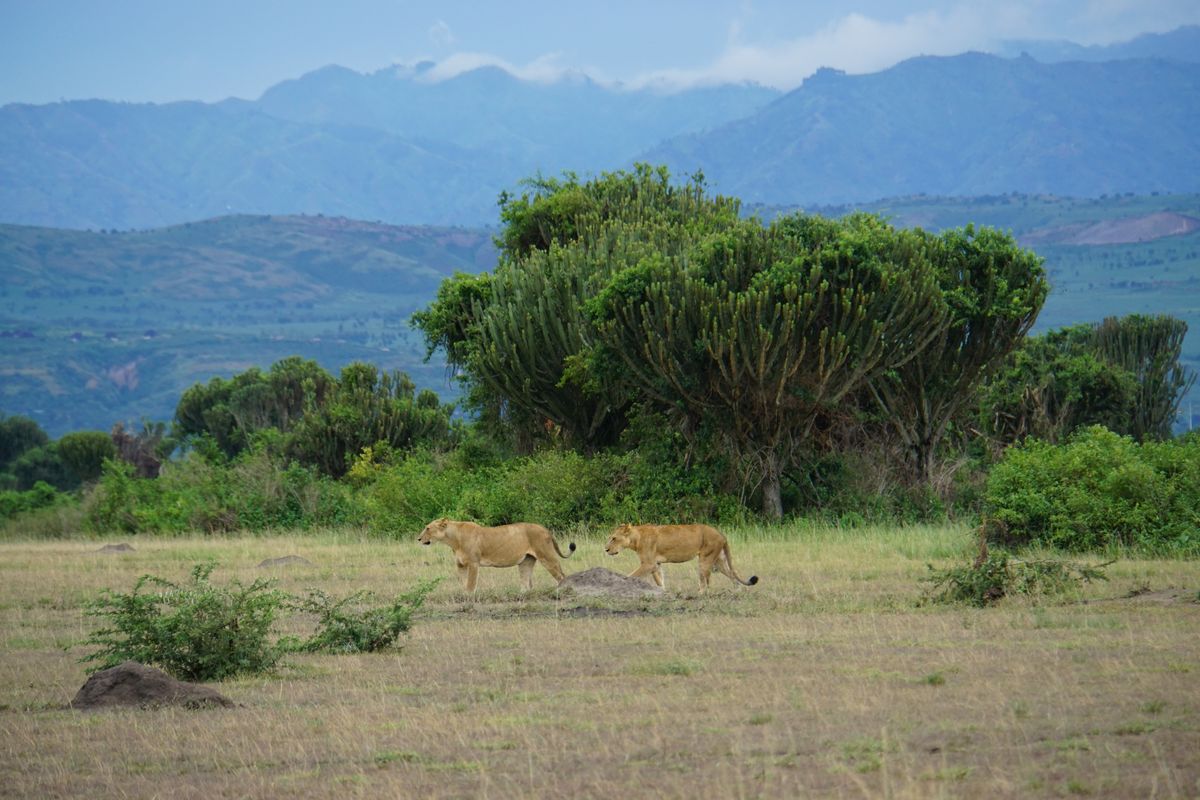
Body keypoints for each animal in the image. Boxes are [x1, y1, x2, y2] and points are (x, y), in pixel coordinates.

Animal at [417, 518, 576, 592]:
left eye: (428, 528)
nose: (418, 539)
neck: (453, 541)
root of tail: (545, 528)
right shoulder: (460, 565)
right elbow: (463, 582)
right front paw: (462, 594)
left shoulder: (473, 563)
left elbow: (470, 584)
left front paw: (469, 596)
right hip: (526, 561)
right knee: (526, 583)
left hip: (546, 556)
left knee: (561, 575)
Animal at [604, 523, 758, 590]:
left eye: (614, 538)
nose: (606, 549)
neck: (636, 538)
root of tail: (721, 534)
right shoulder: (655, 564)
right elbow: (660, 581)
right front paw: (662, 592)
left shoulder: (648, 564)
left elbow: (630, 576)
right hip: (718, 561)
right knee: (732, 576)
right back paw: (737, 591)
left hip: (705, 560)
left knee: (705, 583)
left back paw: (700, 595)